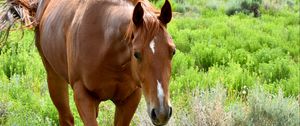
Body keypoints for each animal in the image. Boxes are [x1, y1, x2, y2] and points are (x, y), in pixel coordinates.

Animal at [30, 0, 176, 125]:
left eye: (173, 51)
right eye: (136, 54)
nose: (161, 113)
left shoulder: (130, 98)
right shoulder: (82, 95)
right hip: (54, 77)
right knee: (66, 118)